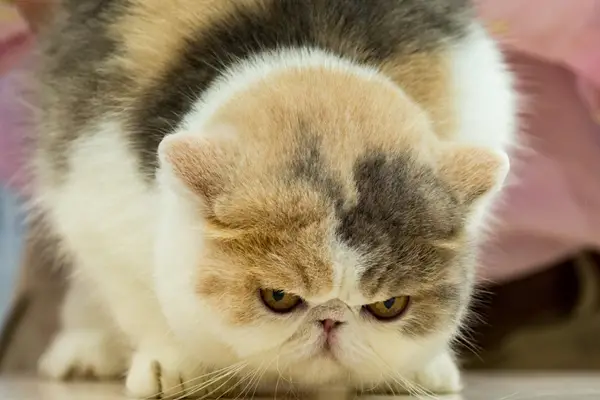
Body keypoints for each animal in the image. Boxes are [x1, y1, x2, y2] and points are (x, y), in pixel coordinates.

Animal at [35, 0, 516, 396]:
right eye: (279, 297)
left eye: (388, 306)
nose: (331, 319)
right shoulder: (95, 193)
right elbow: (140, 295)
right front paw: (170, 366)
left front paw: (421, 368)